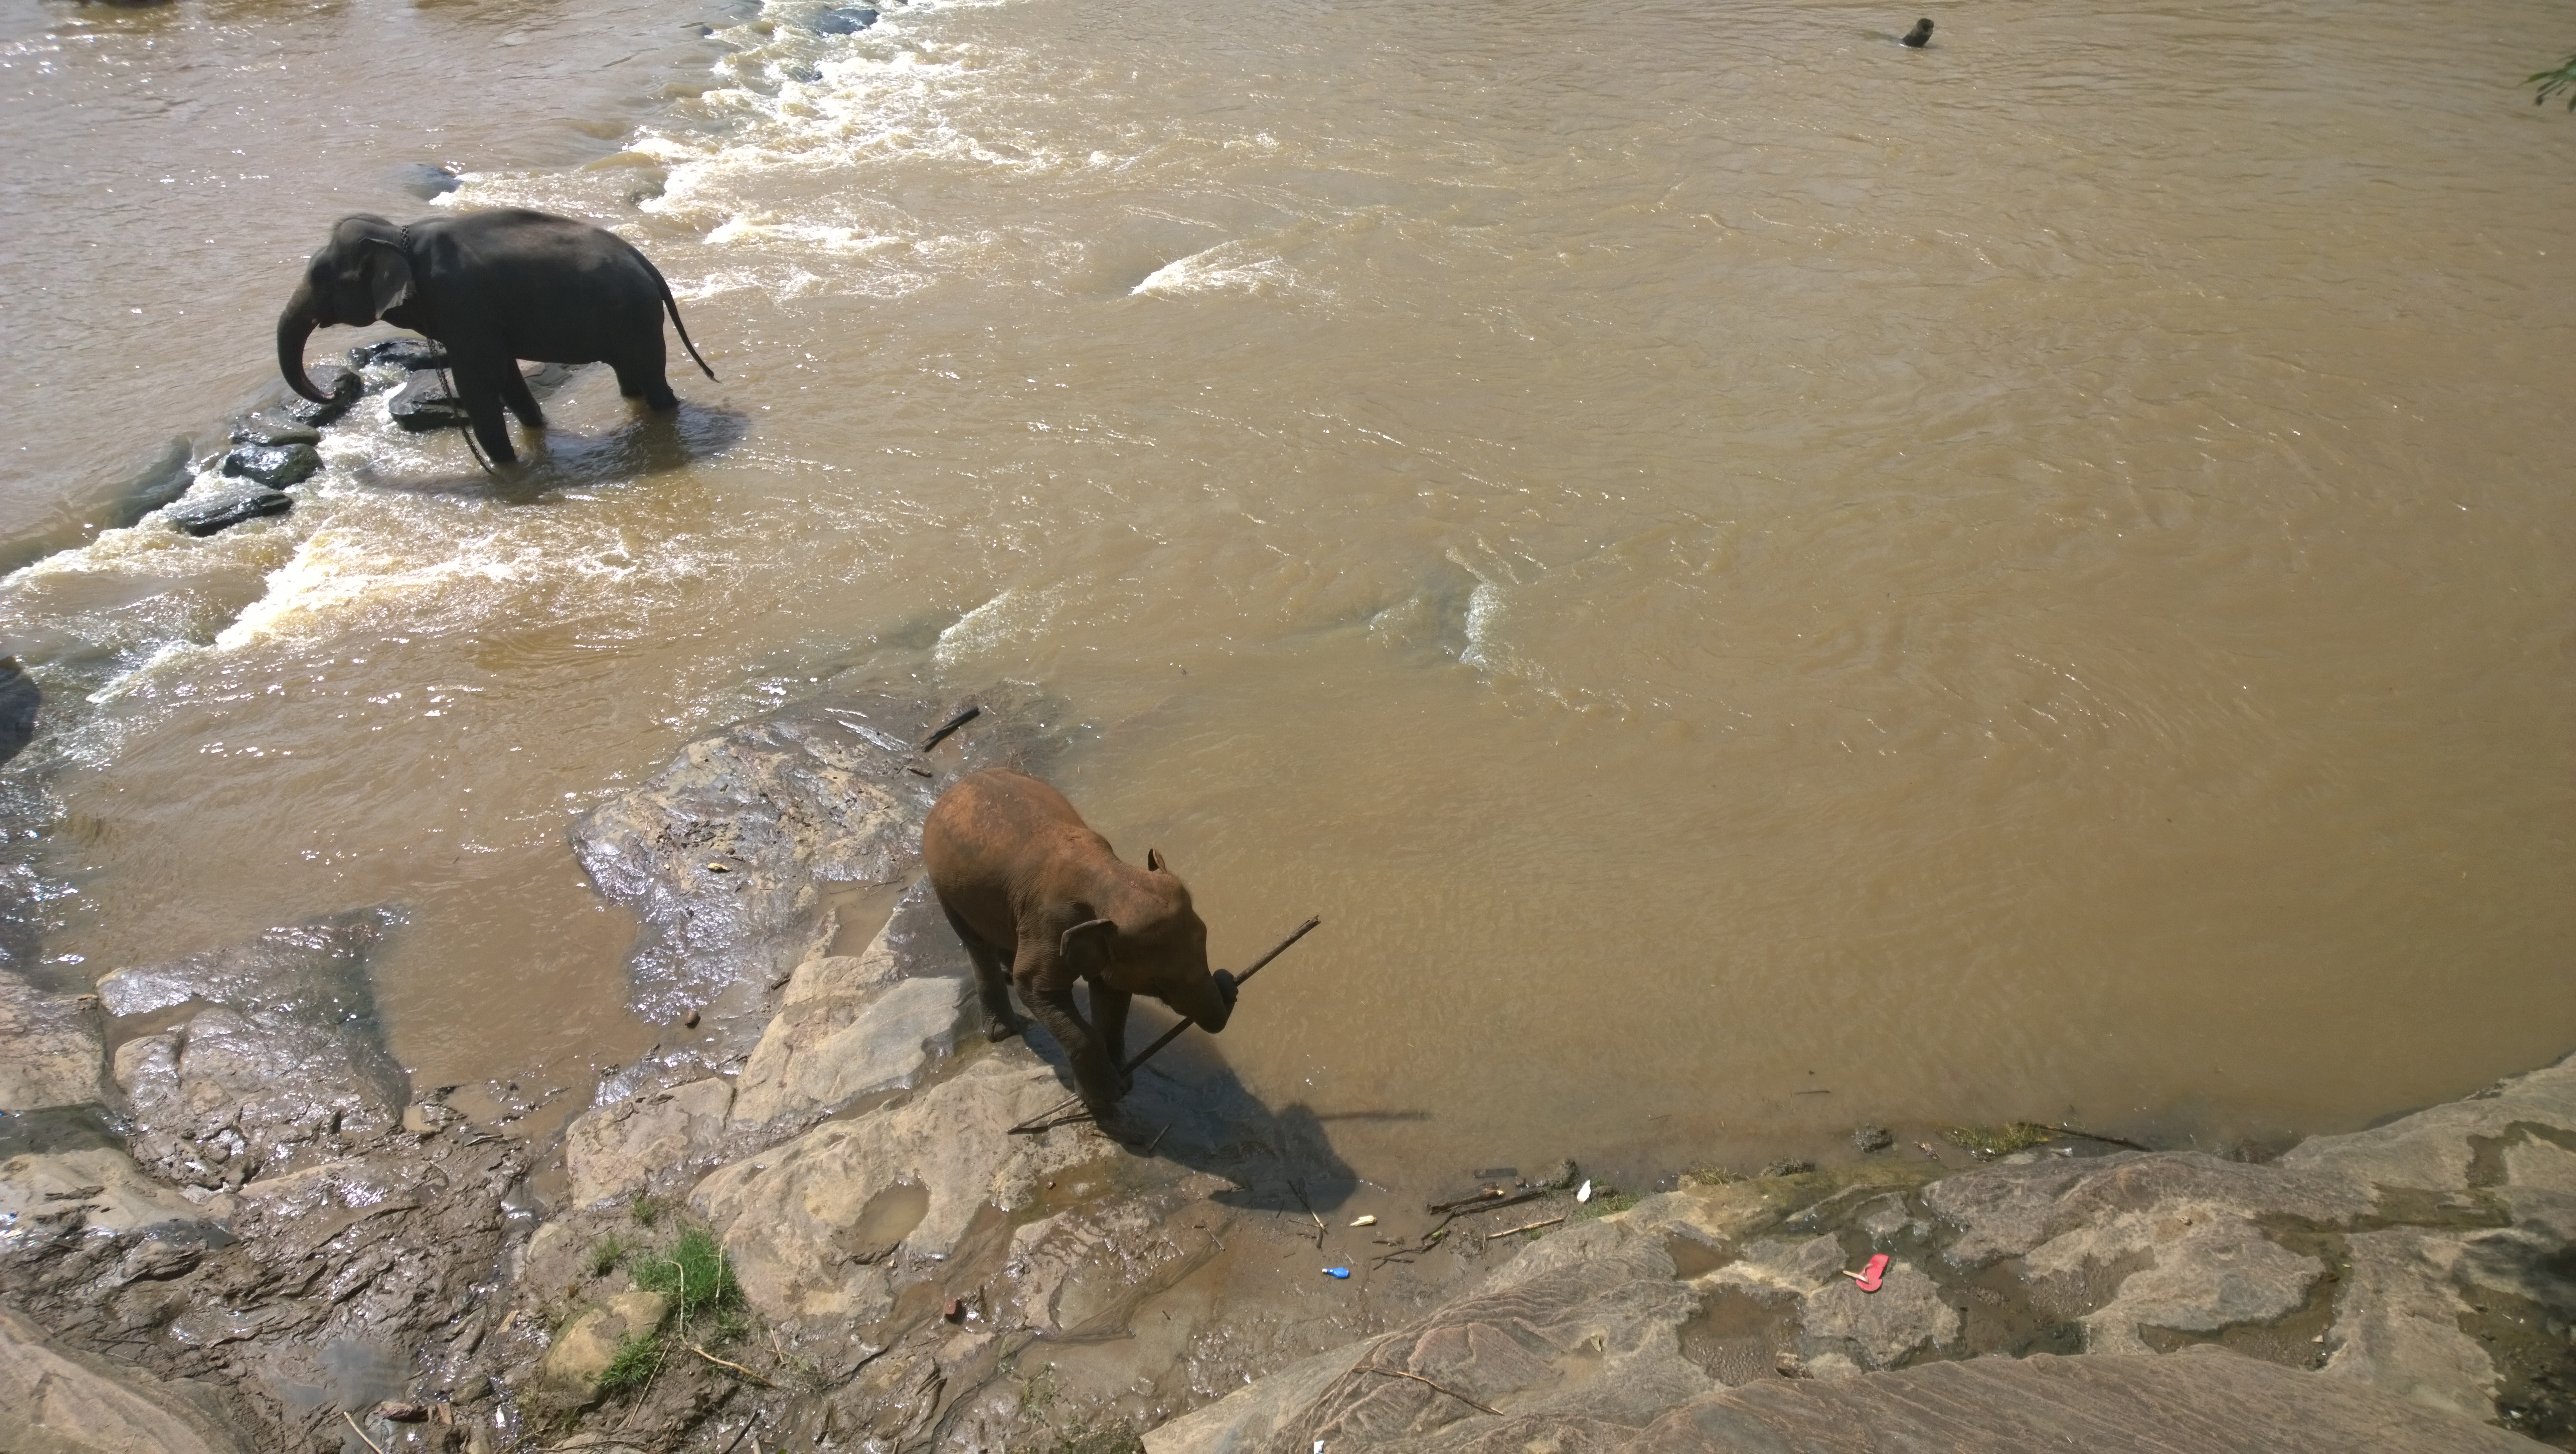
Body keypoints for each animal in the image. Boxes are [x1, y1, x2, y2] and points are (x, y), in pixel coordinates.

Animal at [279, 206, 716, 459]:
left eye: (321, 276)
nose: (334, 391)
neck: (398, 235)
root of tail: (648, 265)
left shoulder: (461, 303)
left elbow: (477, 379)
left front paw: (506, 467)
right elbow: (505, 374)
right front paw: (531, 433)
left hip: (636, 318)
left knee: (653, 380)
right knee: (629, 376)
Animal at [927, 768, 1236, 1119]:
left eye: (1206, 940)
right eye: (1161, 983)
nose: (1227, 981)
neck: (1107, 875)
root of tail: (955, 786)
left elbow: (1112, 994)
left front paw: (1122, 1080)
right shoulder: (1048, 923)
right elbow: (1033, 987)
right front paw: (1105, 1097)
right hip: (945, 890)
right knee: (976, 945)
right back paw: (1002, 1031)